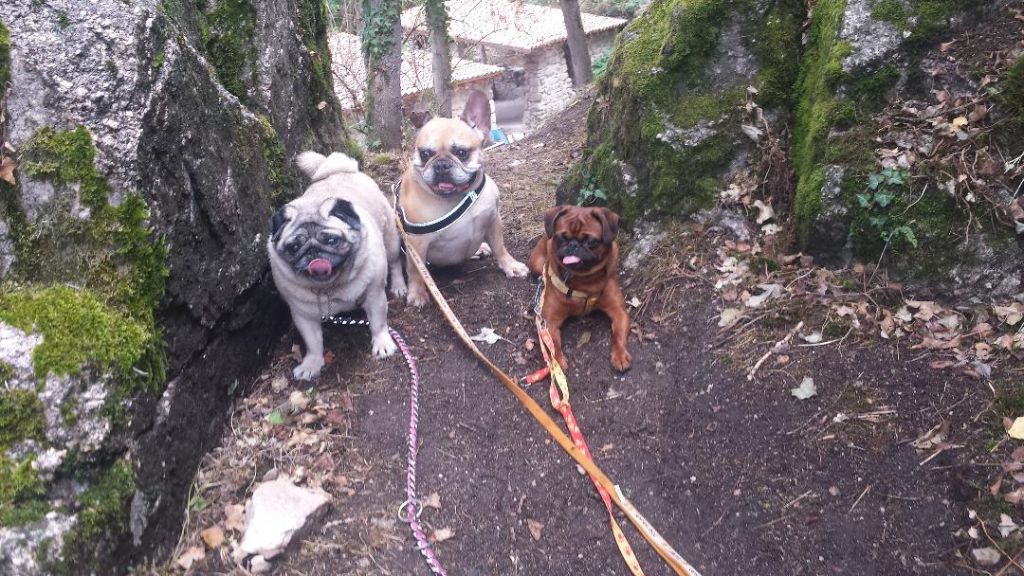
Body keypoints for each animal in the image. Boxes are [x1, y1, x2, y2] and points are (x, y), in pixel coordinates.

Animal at [528, 203, 630, 368]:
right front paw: (557, 361)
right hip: (536, 264)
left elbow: (618, 335)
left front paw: (620, 354)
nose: (573, 244)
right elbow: (553, 343)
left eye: (591, 241)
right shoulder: (548, 321)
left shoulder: (619, 312)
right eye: (562, 237)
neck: (583, 280)